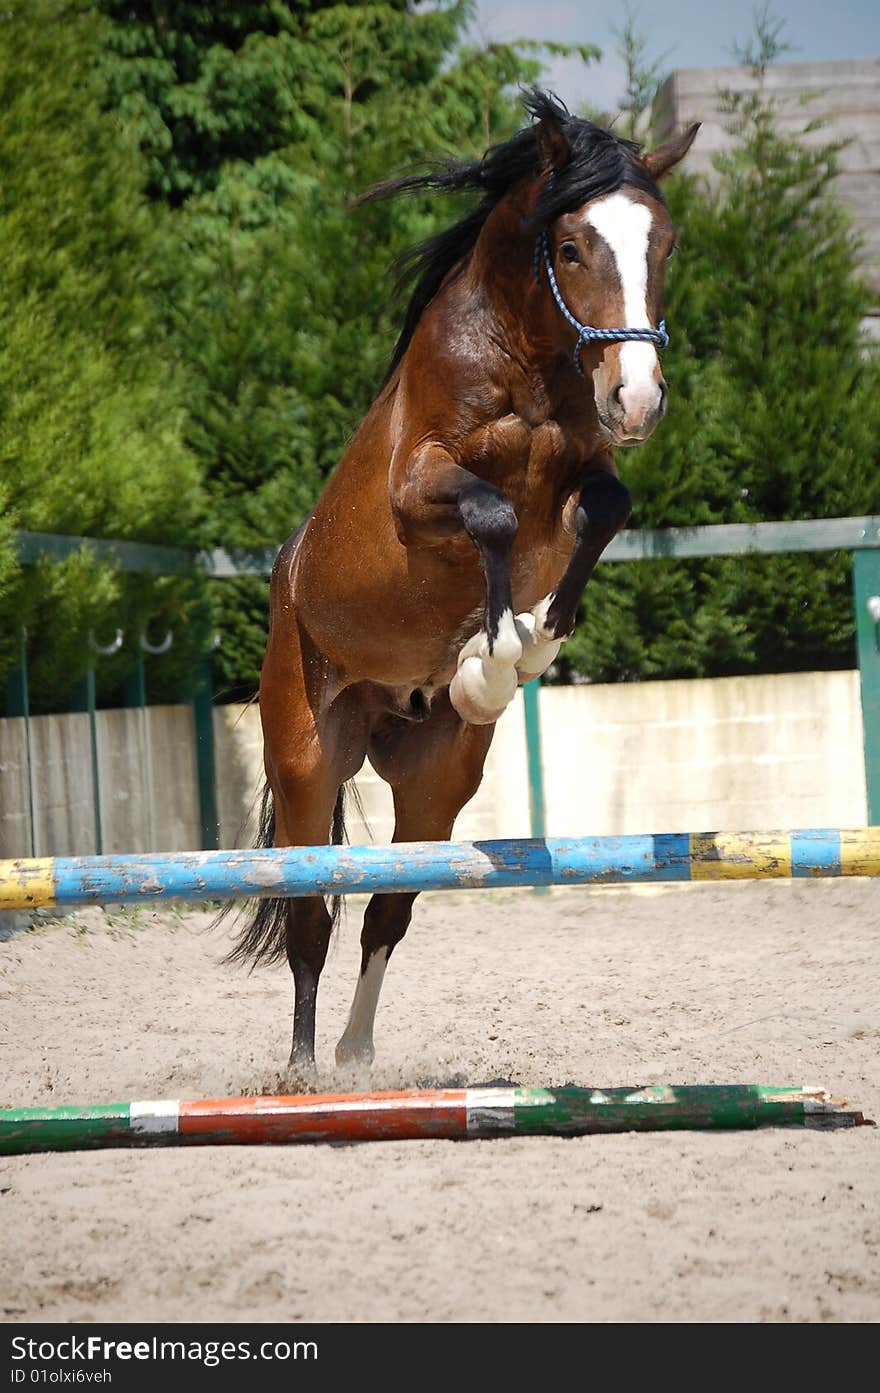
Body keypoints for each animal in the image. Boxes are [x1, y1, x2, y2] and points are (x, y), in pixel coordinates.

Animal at [229, 92, 698, 1069]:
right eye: (571, 247)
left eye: (665, 245)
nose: (637, 399)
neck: (524, 362)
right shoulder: (420, 482)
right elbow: (492, 515)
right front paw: (491, 656)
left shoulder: (587, 469)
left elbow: (604, 508)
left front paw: (529, 644)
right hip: (305, 756)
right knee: (308, 912)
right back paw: (302, 1073)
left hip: (436, 782)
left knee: (387, 909)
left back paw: (356, 1058)